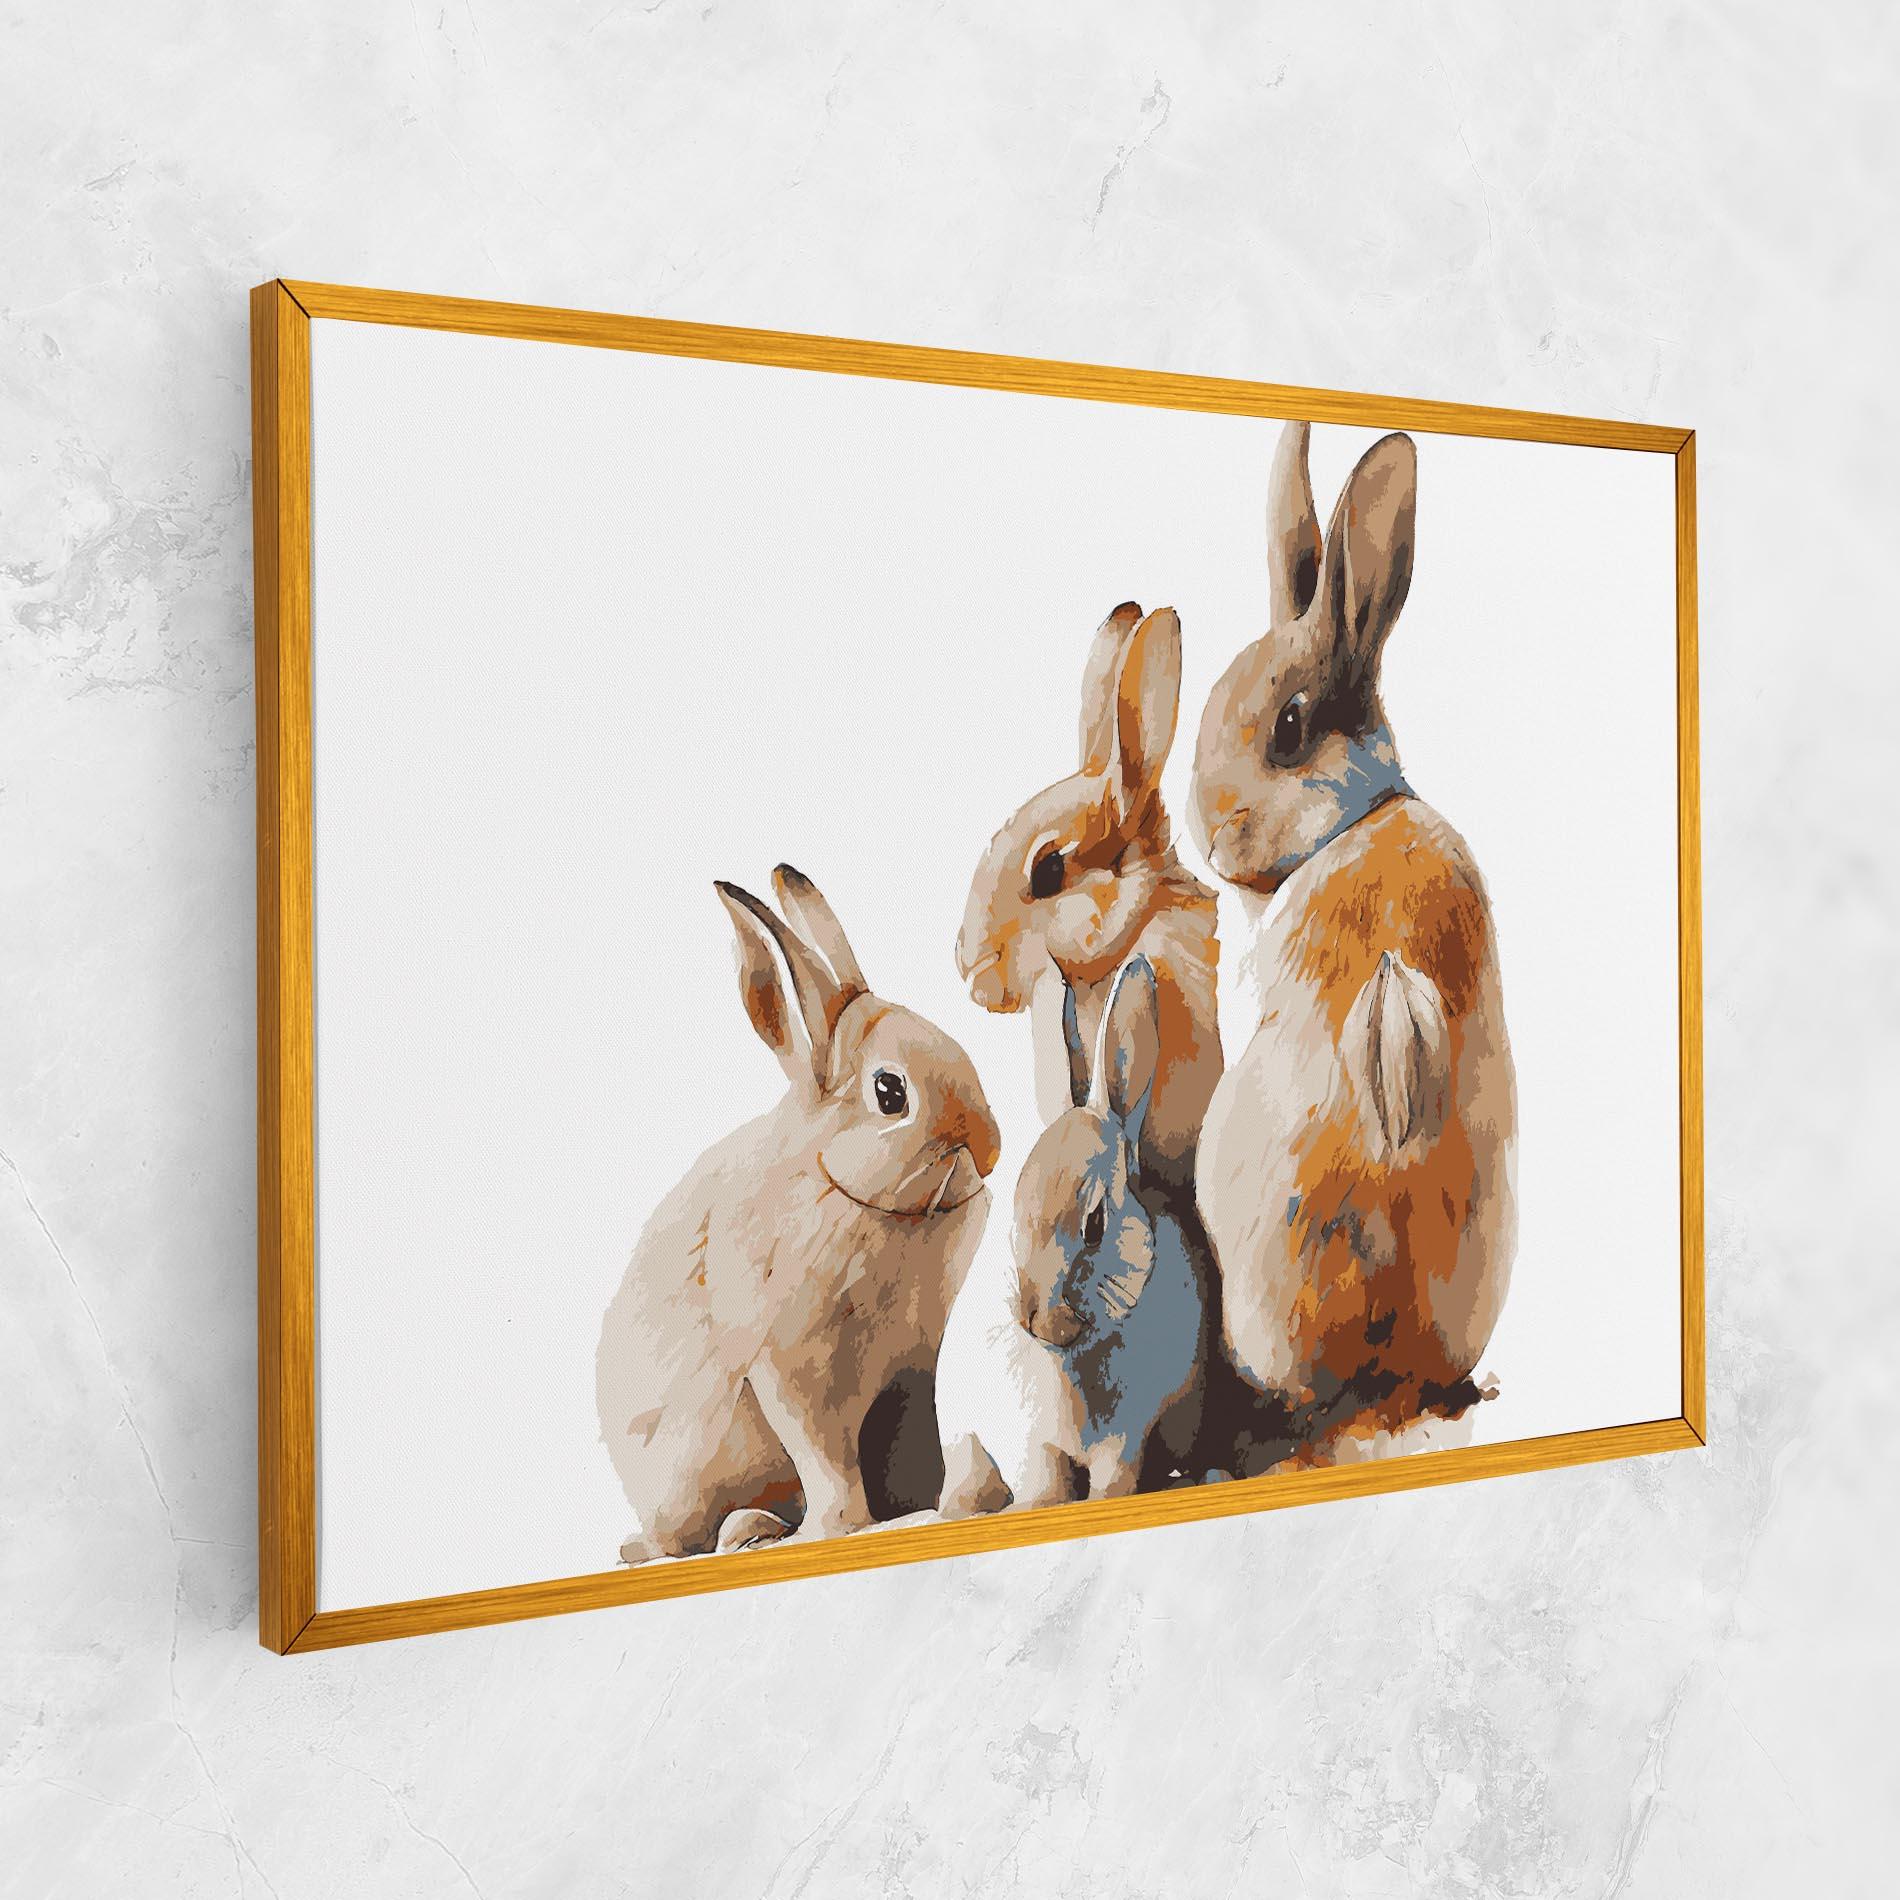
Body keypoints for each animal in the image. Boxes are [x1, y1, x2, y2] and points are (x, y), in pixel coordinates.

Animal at [596, 864, 1001, 1561]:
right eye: (890, 1092)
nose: (990, 1145)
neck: (842, 1189)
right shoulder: (794, 1369)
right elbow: (827, 1460)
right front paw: (844, 1528)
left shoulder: (910, 1371)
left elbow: (909, 1446)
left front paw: (925, 1506)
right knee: (678, 1540)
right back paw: (742, 1532)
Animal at [936, 955, 1211, 1512]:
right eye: (1012, 1213)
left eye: (1095, 1224)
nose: (1039, 1318)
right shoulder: (1027, 1439)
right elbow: (1043, 1482)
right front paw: (1038, 1507)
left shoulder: (1126, 1438)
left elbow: (1113, 1480)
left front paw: (1105, 1502)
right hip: (960, 1433)